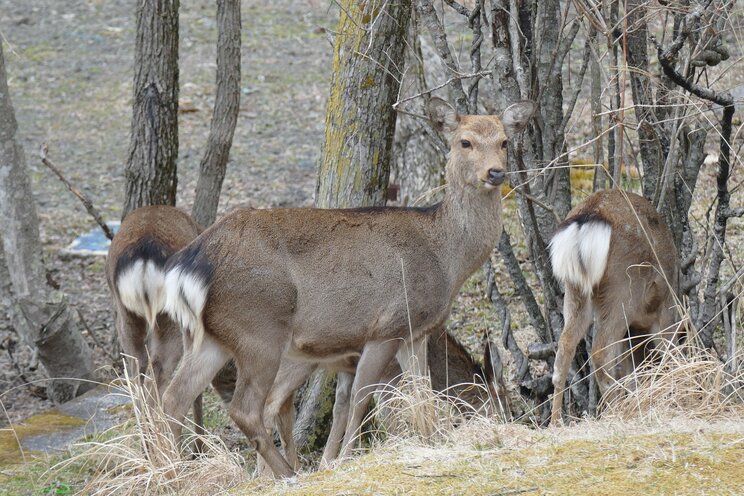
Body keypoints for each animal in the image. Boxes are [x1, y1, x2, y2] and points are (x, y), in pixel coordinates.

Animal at [161, 98, 536, 476]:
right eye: (465, 142)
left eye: (505, 141)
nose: (496, 173)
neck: (446, 258)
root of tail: (187, 264)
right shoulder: (386, 326)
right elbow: (360, 398)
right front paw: (343, 459)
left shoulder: (414, 332)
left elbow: (422, 395)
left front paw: (431, 445)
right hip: (259, 330)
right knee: (246, 408)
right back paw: (286, 475)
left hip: (209, 337)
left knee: (173, 399)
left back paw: (172, 475)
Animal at [548, 190, 684, 426]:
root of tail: (588, 216)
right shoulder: (665, 310)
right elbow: (668, 352)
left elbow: (629, 368)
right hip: (622, 287)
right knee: (601, 353)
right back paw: (614, 412)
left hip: (575, 290)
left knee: (565, 347)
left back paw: (555, 422)